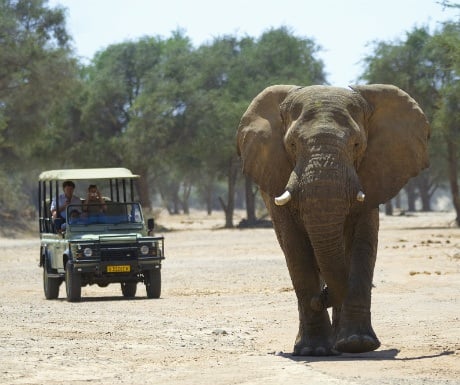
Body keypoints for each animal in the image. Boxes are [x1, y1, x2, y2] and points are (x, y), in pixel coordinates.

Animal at [237, 83, 432, 354]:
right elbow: (295, 248)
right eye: (292, 144)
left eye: (357, 144)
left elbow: (363, 243)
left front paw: (358, 344)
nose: (320, 299)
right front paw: (313, 351)